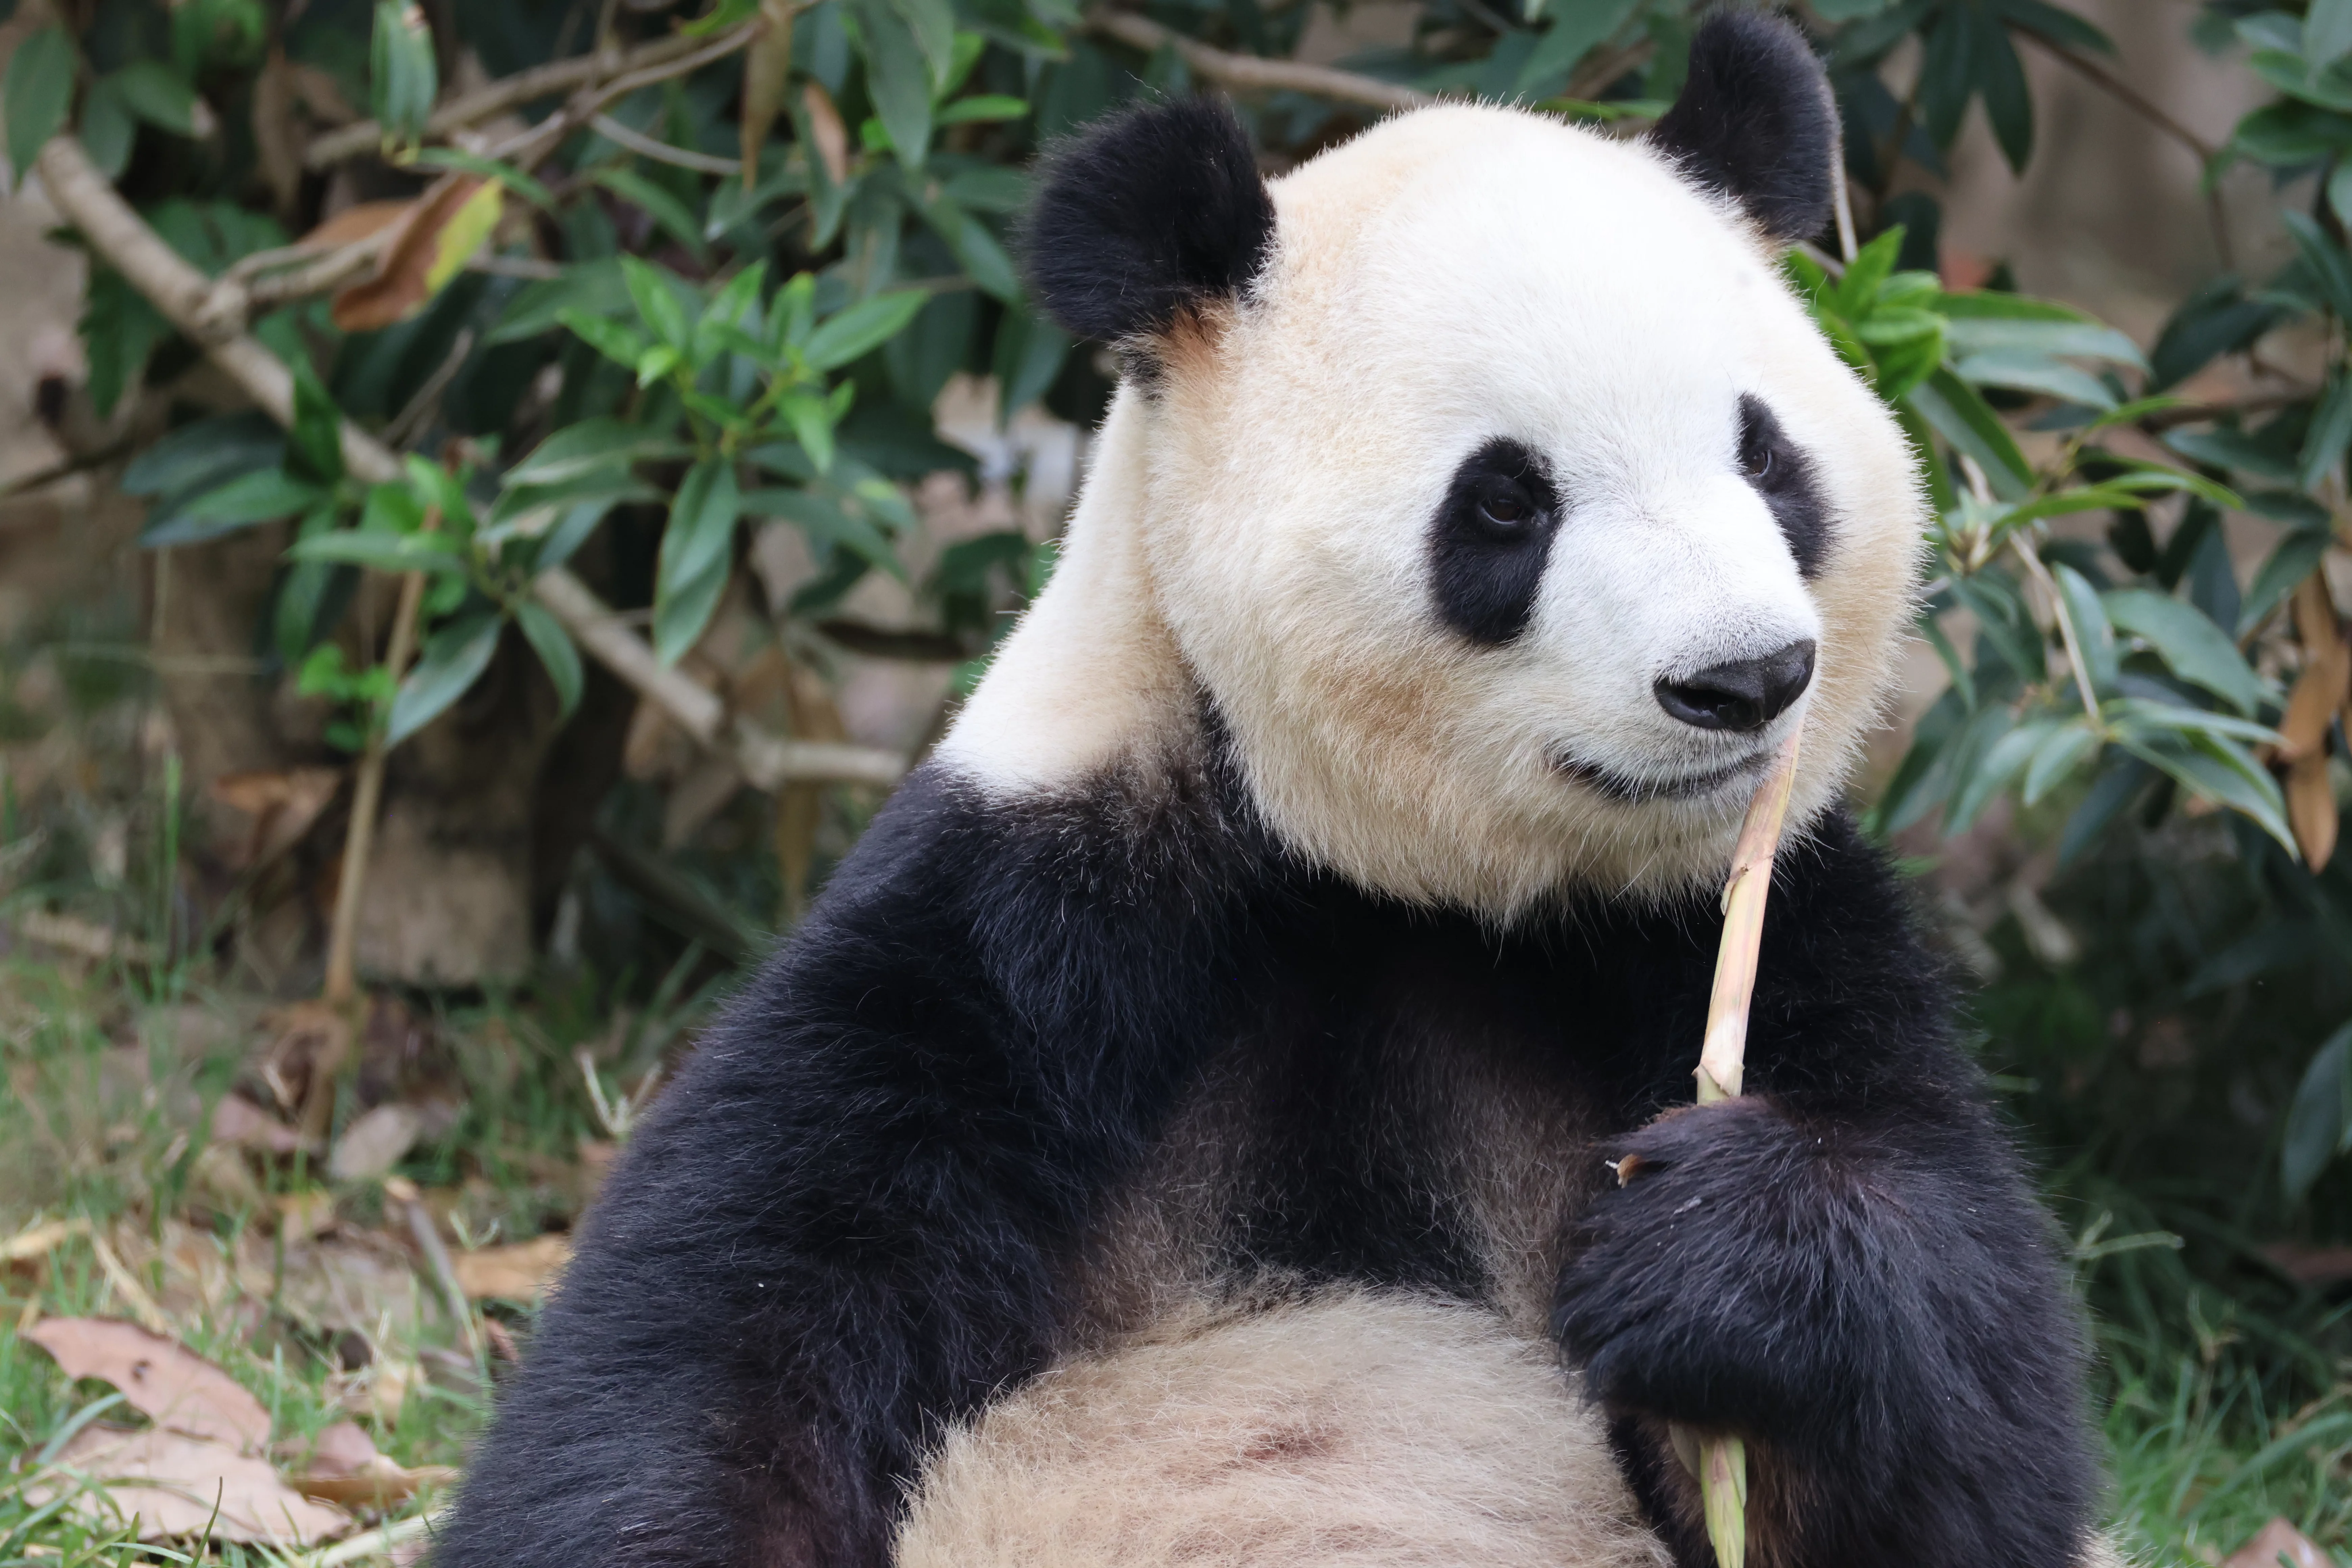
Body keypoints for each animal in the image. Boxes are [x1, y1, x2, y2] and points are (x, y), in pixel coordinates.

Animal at [437, 13, 2112, 1568]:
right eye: (1507, 500)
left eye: (1767, 458)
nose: (1747, 677)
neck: (1400, 883)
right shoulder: (1023, 928)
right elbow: (722, 1332)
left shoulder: (1755, 930)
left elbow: (1975, 1426)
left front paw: (1719, 1254)